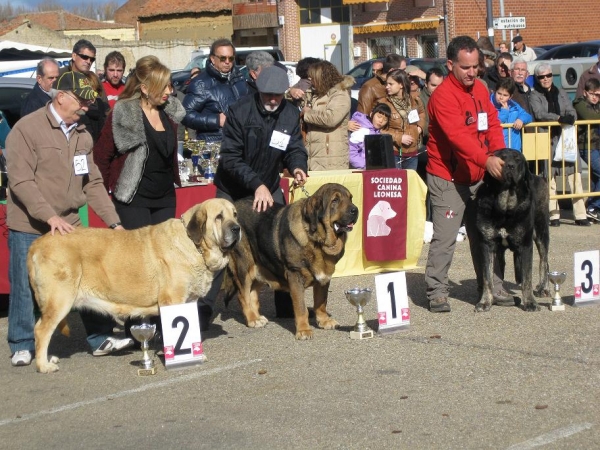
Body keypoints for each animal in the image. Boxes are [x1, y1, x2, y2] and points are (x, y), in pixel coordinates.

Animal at [474, 149, 548, 312]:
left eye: (518, 159)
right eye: (502, 158)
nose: (510, 166)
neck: (505, 207)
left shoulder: (526, 245)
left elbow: (527, 278)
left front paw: (530, 302)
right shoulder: (486, 245)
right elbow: (487, 277)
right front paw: (485, 302)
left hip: (541, 231)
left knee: (544, 260)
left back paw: (543, 288)